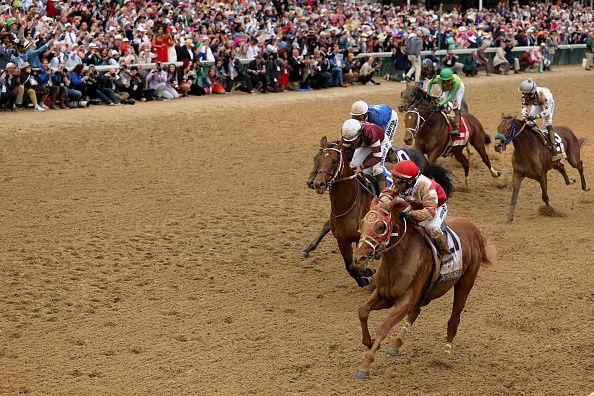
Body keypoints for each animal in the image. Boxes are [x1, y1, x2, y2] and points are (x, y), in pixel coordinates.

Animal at [302, 138, 450, 262]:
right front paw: (307, 249)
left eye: (333, 161)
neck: (348, 203)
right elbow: (327, 226)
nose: (316, 183)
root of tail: (426, 161)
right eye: (316, 158)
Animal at [346, 200, 490, 378]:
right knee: (416, 311)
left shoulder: (404, 301)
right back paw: (396, 345)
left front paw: (365, 365)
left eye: (381, 227)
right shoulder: (384, 295)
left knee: (454, 318)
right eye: (361, 224)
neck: (398, 259)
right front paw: (370, 342)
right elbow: (363, 311)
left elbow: (384, 327)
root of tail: (476, 230)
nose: (358, 259)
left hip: (465, 283)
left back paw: (445, 354)